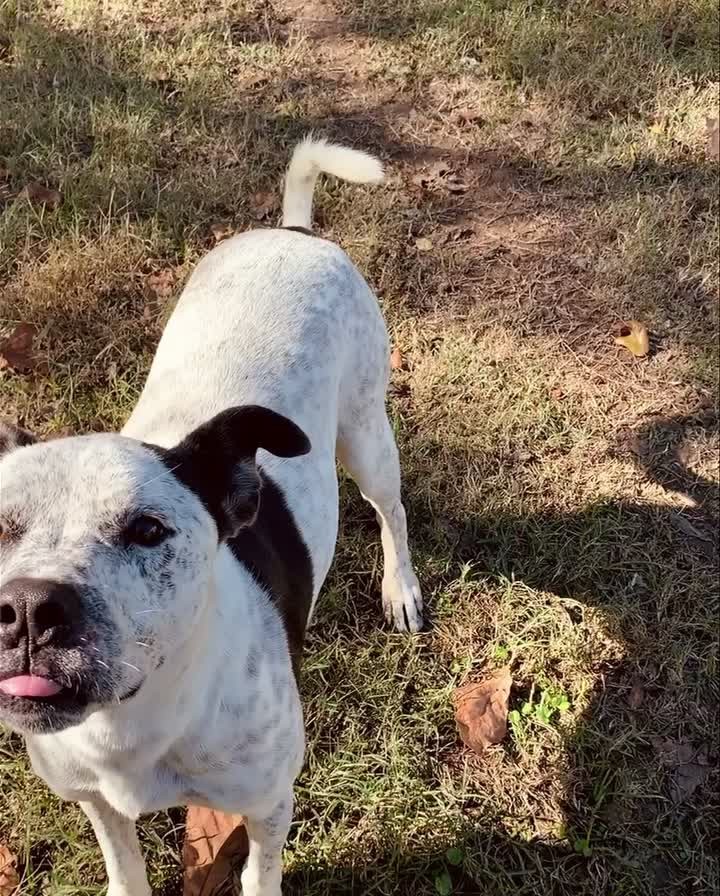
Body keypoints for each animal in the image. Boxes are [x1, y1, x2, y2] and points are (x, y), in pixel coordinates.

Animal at [0, 138, 424, 896]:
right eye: (0, 527)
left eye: (147, 531)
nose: (26, 610)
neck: (132, 726)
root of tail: (294, 232)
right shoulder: (95, 802)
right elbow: (125, 866)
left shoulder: (267, 804)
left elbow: (260, 875)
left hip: (367, 437)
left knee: (391, 512)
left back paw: (400, 589)